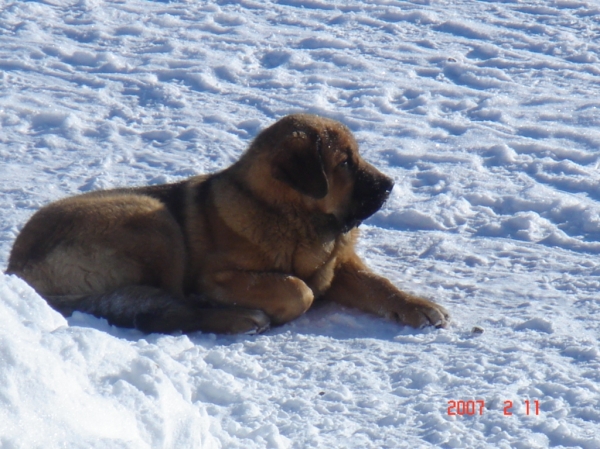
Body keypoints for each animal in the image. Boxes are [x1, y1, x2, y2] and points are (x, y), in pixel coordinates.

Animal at [7, 113, 450, 332]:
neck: (291, 217)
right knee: (170, 308)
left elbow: (379, 285)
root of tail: (17, 269)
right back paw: (236, 317)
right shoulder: (219, 275)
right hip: (153, 219)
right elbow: (298, 289)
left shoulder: (337, 266)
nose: (390, 185)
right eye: (344, 162)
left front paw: (418, 306)